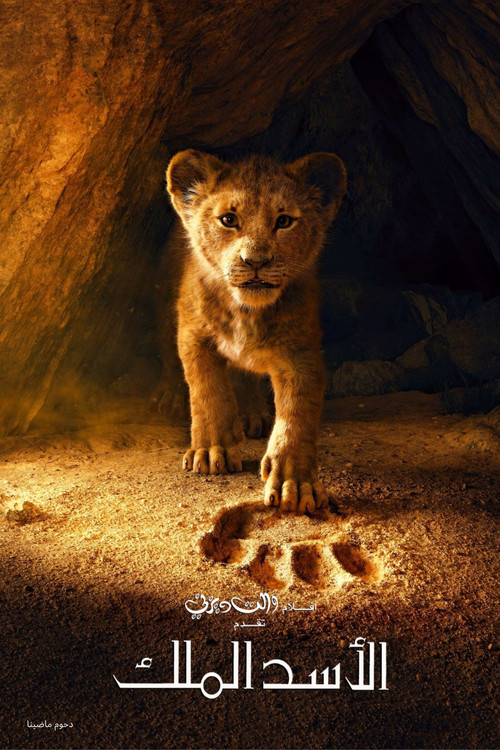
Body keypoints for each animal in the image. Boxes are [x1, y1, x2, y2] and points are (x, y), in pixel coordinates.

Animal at [154, 149, 346, 513]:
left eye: (284, 221)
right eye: (228, 219)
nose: (255, 261)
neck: (247, 311)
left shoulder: (300, 353)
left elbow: (297, 414)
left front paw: (294, 483)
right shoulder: (193, 335)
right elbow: (207, 391)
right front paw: (211, 451)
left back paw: (252, 413)